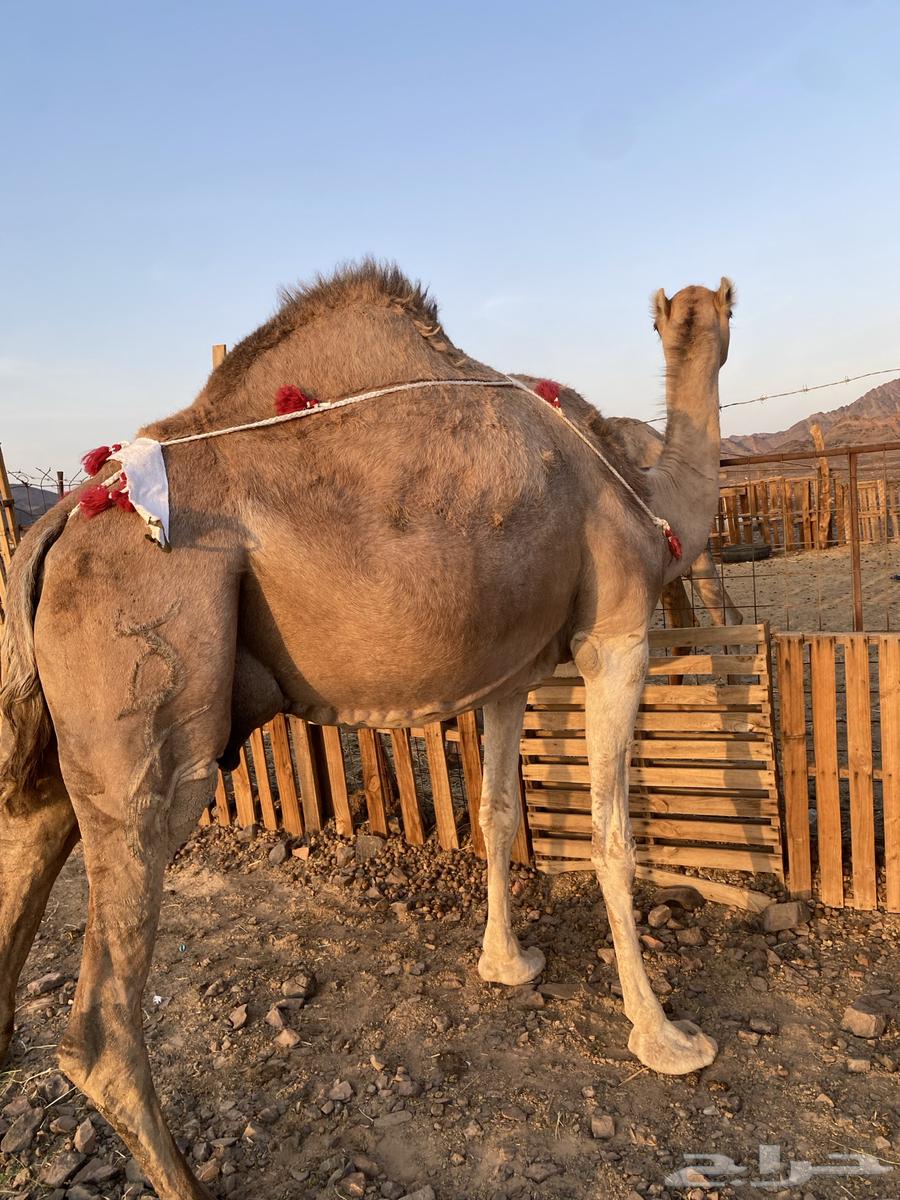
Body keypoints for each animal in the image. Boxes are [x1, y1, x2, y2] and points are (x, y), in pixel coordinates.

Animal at [0, 262, 733, 1200]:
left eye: (710, 314)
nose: (706, 323)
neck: (646, 493)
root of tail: (63, 517)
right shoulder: (617, 631)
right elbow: (611, 835)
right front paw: (667, 1038)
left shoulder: (514, 671)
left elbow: (498, 813)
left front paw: (508, 964)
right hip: (145, 701)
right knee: (101, 1022)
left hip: (64, 740)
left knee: (32, 835)